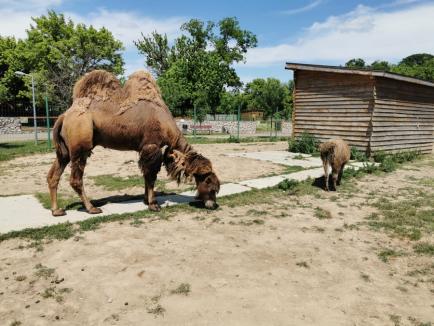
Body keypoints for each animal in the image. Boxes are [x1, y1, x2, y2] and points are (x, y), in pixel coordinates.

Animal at [47, 69, 220, 215]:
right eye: (210, 185)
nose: (213, 205)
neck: (166, 123)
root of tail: (64, 116)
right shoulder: (152, 146)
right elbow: (151, 176)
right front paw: (153, 204)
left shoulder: (144, 148)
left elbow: (145, 174)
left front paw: (146, 200)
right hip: (80, 145)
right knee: (75, 179)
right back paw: (92, 208)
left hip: (64, 150)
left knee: (53, 175)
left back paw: (57, 210)